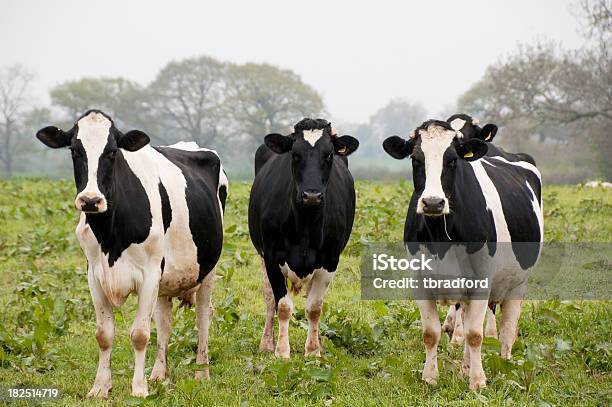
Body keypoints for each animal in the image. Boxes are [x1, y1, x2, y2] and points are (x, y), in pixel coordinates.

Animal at [35, 111, 227, 398]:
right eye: (74, 150)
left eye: (113, 151)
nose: (90, 200)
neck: (110, 236)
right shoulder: (95, 275)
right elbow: (104, 334)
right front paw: (100, 387)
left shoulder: (149, 274)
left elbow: (140, 334)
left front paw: (138, 388)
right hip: (165, 279)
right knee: (164, 320)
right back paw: (158, 374)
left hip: (207, 268)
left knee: (203, 315)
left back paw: (202, 373)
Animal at [249, 118, 358, 360]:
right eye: (295, 155)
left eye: (329, 155)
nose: (312, 195)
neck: (306, 225)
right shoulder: (272, 257)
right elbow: (282, 306)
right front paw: (281, 351)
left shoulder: (330, 260)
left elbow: (314, 308)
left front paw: (313, 350)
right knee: (269, 299)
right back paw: (266, 342)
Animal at [384, 119, 544, 390]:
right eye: (416, 159)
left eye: (452, 160)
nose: (433, 202)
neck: (440, 237)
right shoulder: (419, 281)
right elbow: (431, 333)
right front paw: (430, 377)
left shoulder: (482, 281)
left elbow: (475, 334)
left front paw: (477, 382)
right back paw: (465, 368)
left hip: (518, 283)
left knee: (507, 329)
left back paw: (504, 365)